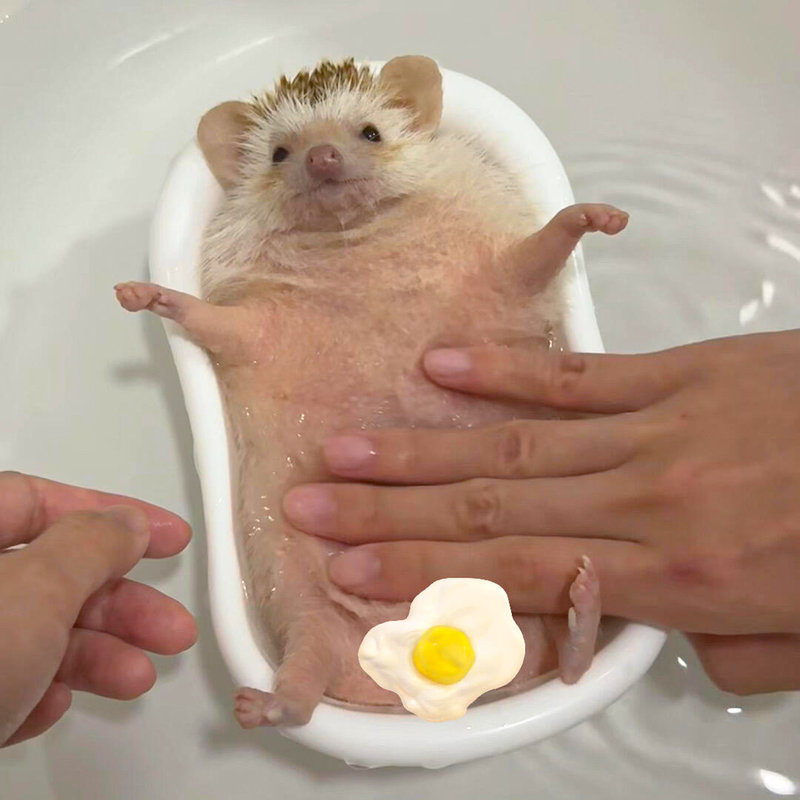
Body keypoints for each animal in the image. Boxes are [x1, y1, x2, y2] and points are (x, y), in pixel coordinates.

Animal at [116, 55, 628, 728]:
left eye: (370, 132)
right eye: (279, 152)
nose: (323, 157)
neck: (353, 243)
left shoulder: (485, 278)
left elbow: (532, 259)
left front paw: (587, 218)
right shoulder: (261, 328)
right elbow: (217, 325)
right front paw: (152, 297)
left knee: (564, 664)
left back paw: (581, 611)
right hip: (291, 577)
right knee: (310, 645)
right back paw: (272, 703)